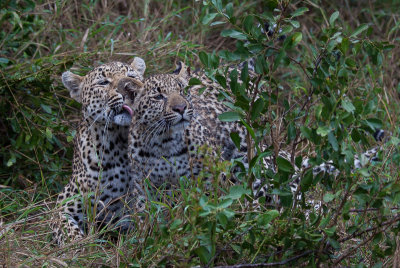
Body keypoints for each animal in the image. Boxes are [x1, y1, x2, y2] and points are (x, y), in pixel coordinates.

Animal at [51, 57, 148, 246]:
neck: (118, 143)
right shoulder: (62, 206)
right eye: (103, 82)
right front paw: (79, 245)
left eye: (131, 76)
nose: (128, 88)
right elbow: (67, 231)